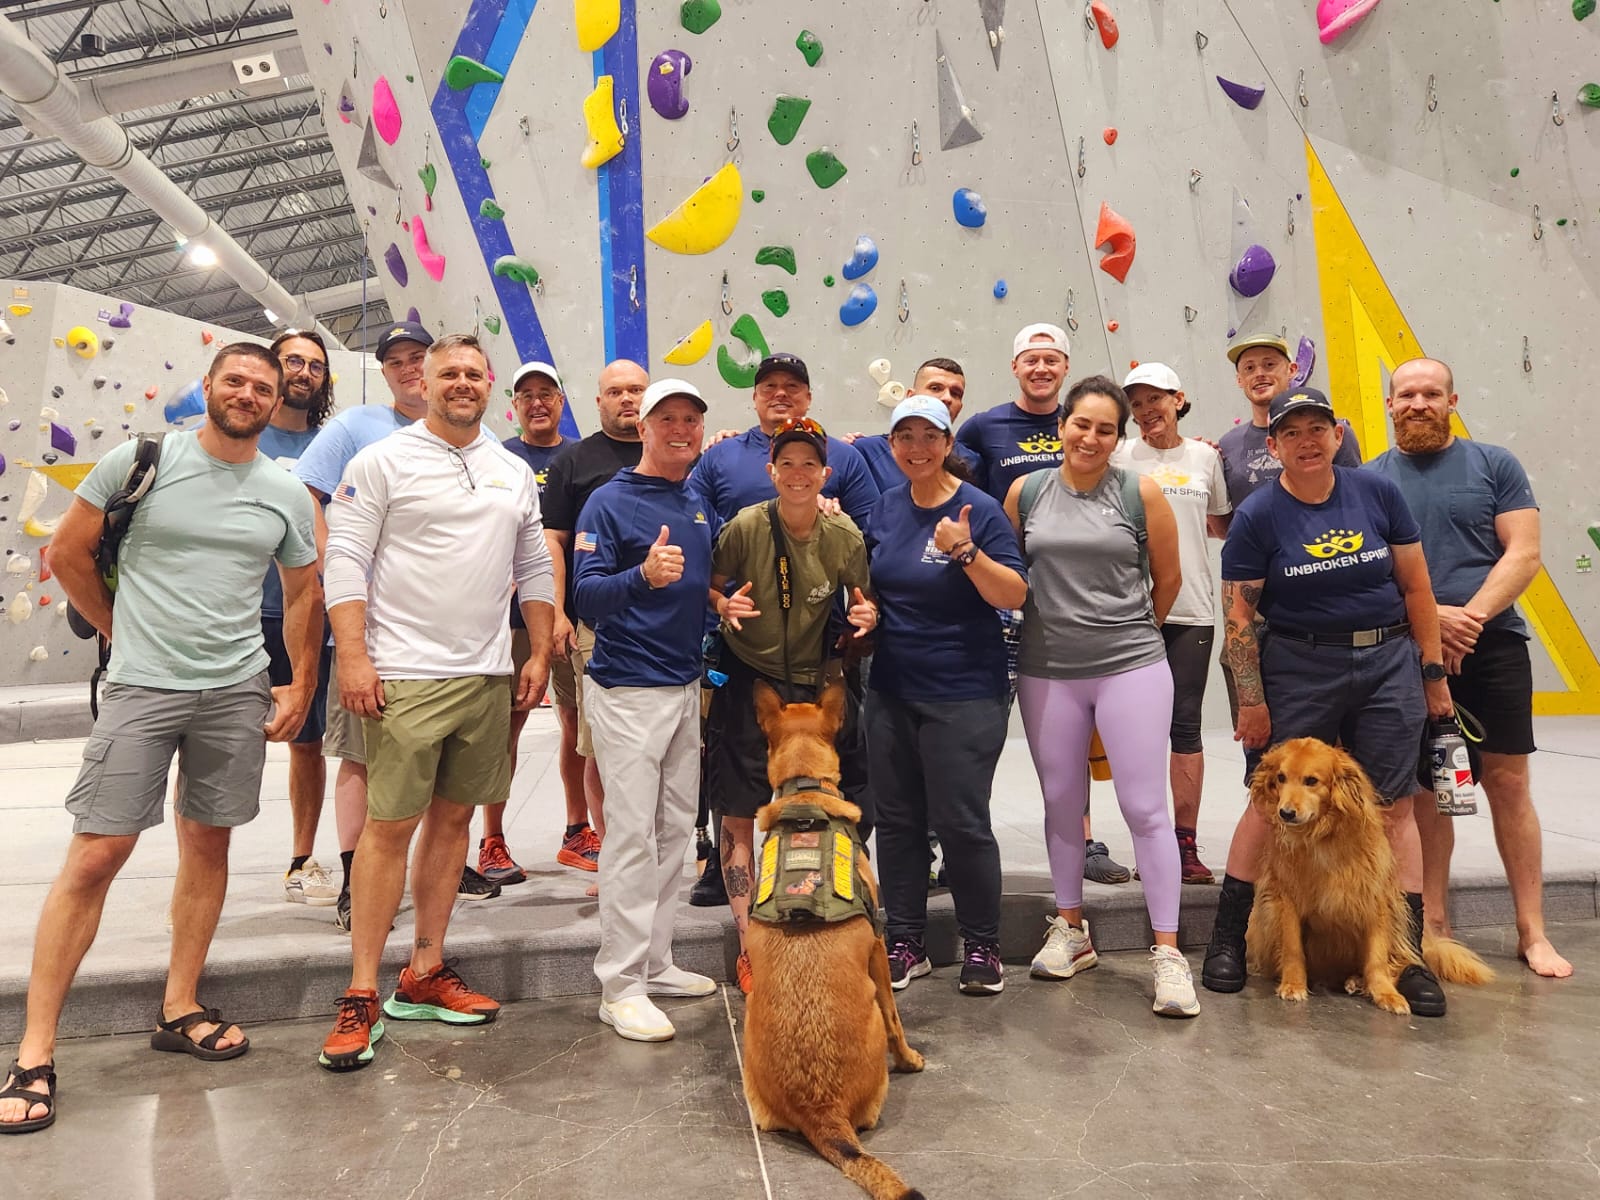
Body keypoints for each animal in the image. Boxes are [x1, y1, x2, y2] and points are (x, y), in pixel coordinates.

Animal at [1241, 742, 1491, 1017]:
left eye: (1311, 781)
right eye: (1281, 778)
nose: (1285, 813)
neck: (1322, 839)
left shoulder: (1375, 901)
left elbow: (1377, 959)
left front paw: (1386, 994)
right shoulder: (1287, 900)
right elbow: (1292, 947)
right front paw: (1293, 984)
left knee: (1393, 961)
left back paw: (1362, 981)